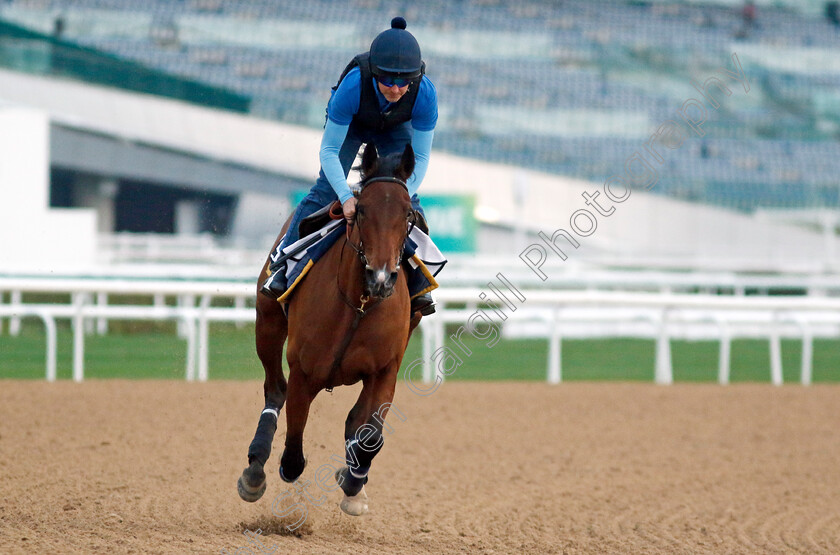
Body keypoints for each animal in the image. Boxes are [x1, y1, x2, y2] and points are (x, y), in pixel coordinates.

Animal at [238, 142, 420, 516]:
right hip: (268, 322)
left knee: (355, 421)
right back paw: (255, 468)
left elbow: (370, 434)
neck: (359, 303)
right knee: (274, 389)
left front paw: (353, 481)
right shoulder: (305, 371)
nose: (382, 278)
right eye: (361, 210)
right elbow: (293, 453)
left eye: (408, 214)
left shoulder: (385, 369)